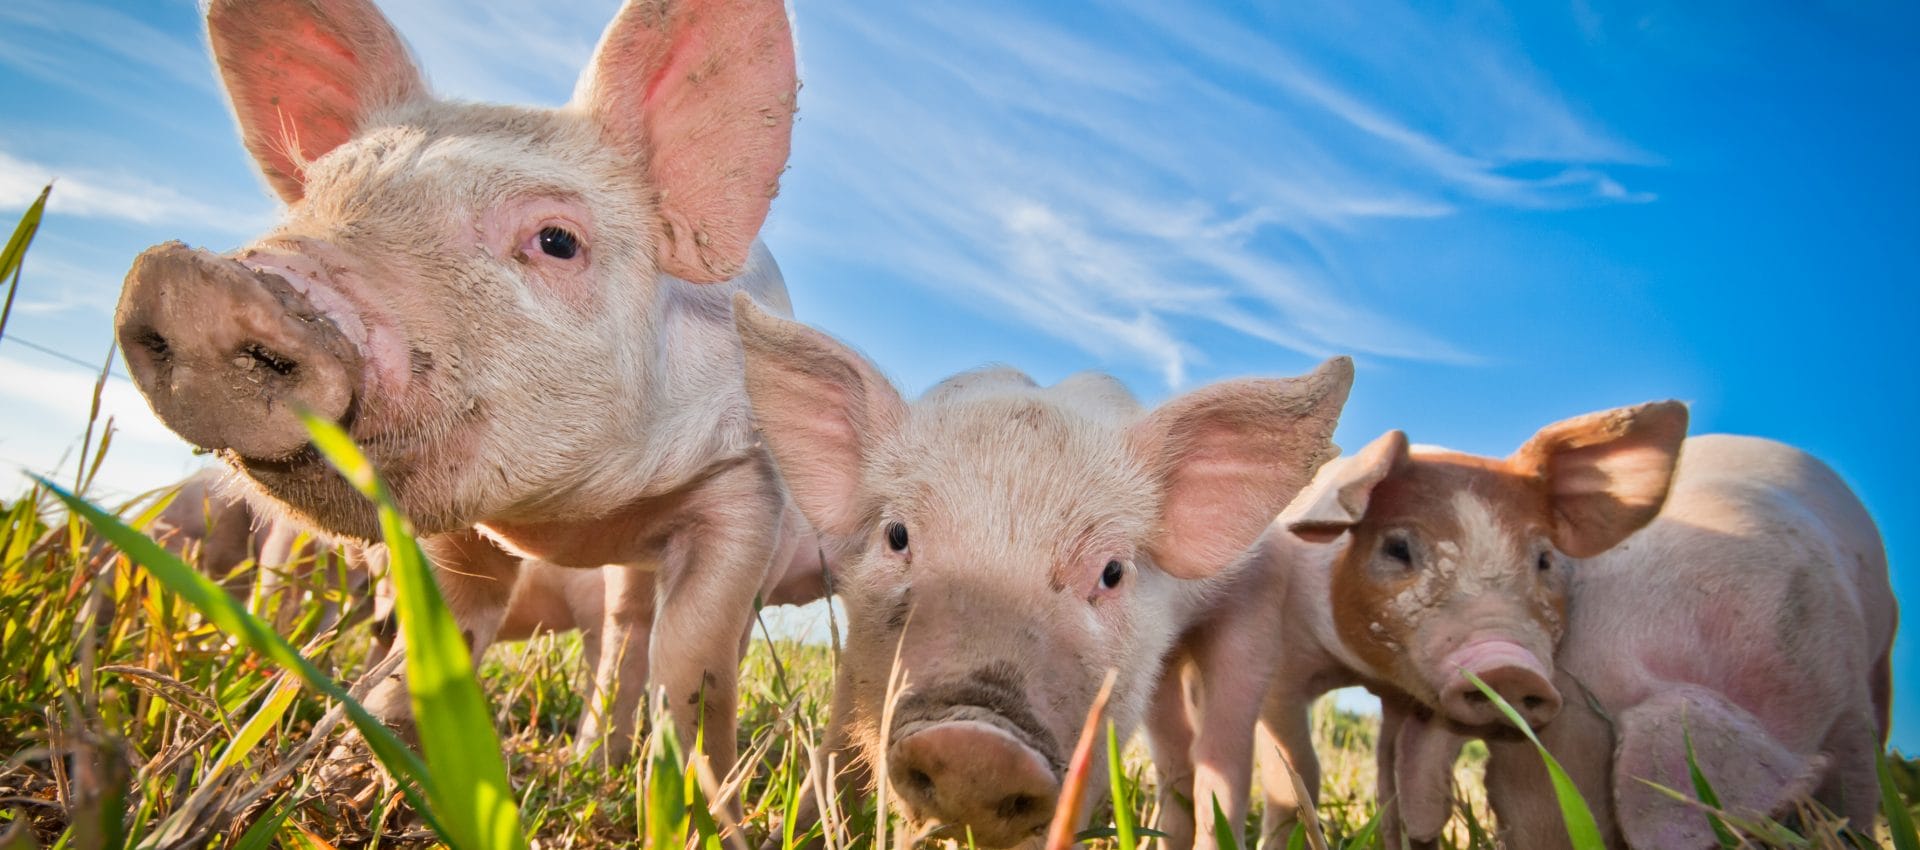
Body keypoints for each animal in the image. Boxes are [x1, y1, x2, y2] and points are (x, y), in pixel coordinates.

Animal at [111, 0, 801, 772]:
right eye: (315, 197)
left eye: (557, 240)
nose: (199, 283)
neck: (567, 521)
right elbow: (446, 624)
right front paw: (382, 755)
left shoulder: (750, 486)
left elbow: (693, 660)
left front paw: (703, 784)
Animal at [730, 295, 1353, 849]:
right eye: (898, 535)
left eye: (1112, 571)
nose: (976, 743)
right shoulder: (856, 662)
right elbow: (833, 758)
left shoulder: (1102, 732)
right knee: (1177, 755)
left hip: (1256, 620)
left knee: (1226, 756)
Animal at [1255, 403, 1897, 849]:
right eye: (1396, 549)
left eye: (1545, 559)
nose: (1507, 668)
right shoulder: (1285, 667)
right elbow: (1296, 771)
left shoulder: (1846, 699)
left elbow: (1857, 789)